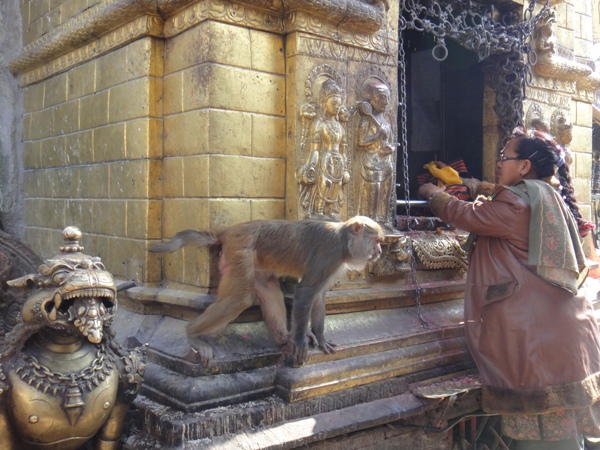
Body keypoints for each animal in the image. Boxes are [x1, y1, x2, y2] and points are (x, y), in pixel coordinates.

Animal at [150, 216, 384, 368]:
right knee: (240, 298)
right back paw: (192, 334)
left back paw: (285, 336)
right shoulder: (330, 255)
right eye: (376, 241)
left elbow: (318, 296)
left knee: (269, 289)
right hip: (240, 249)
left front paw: (319, 335)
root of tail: (228, 231)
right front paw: (300, 341)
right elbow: (306, 291)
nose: (380, 251)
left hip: (256, 265)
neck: (344, 240)